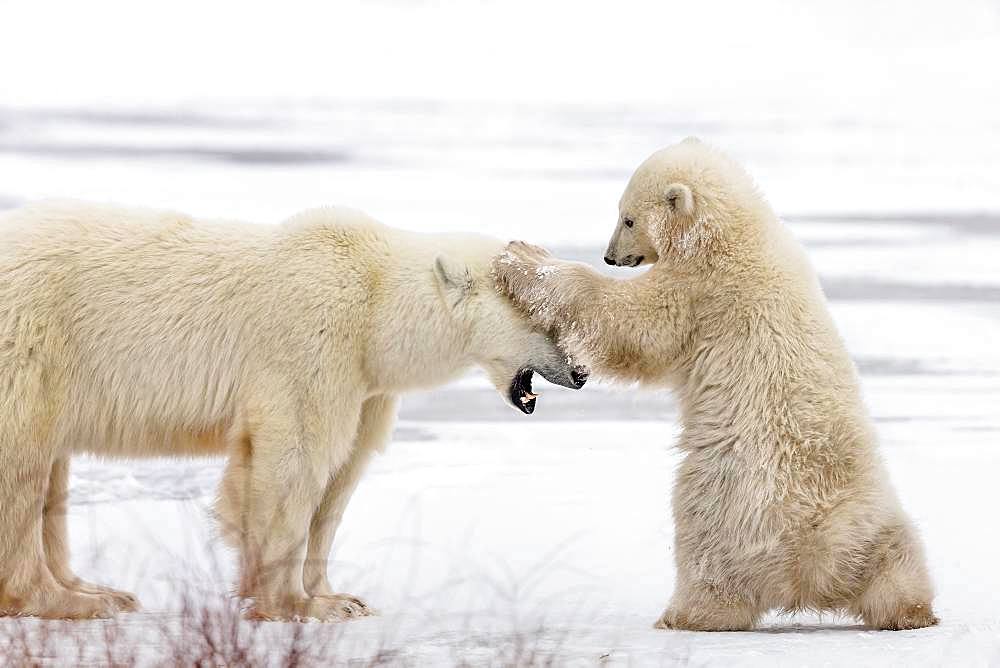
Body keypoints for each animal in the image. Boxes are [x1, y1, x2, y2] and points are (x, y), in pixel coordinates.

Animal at [0, 202, 584, 620]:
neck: (375, 303)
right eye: (543, 316)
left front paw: (339, 596)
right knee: (23, 469)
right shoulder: (313, 342)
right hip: (32, 344)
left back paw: (97, 589)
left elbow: (340, 479)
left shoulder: (367, 387)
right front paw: (296, 606)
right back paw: (67, 600)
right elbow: (295, 462)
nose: (580, 373)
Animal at [496, 140, 940, 632]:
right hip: (867, 519)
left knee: (706, 548)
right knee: (893, 555)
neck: (733, 235)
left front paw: (524, 258)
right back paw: (911, 609)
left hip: (732, 495)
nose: (611, 256)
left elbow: (633, 322)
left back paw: (684, 614)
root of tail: (813, 564)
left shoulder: (701, 290)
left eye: (627, 218)